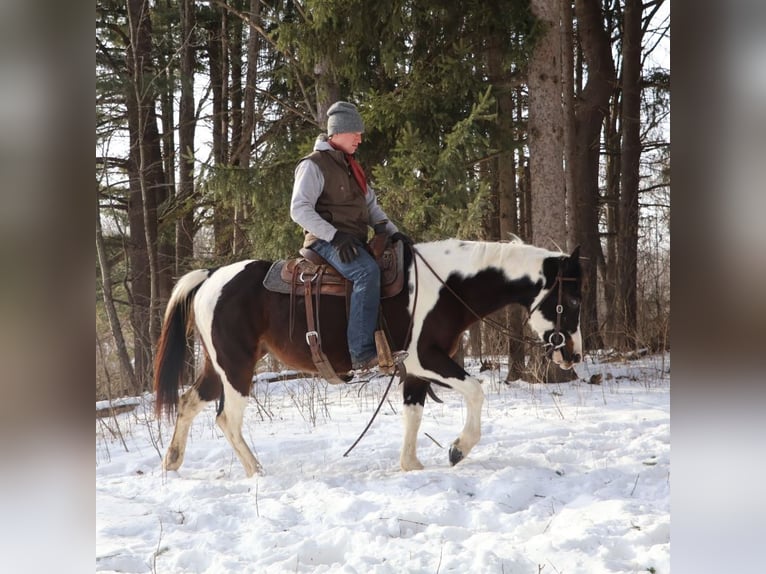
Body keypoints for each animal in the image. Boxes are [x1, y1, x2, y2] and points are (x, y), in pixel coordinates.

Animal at [153, 238, 582, 476]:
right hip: (237, 367)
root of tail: (212, 276)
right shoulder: (425, 359)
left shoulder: (413, 371)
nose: (573, 354)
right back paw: (256, 470)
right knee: (227, 418)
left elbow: (413, 413)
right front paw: (458, 449)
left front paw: (411, 465)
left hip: (219, 366)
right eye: (572, 301)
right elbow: (476, 391)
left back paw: (172, 460)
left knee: (189, 402)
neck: (445, 287)